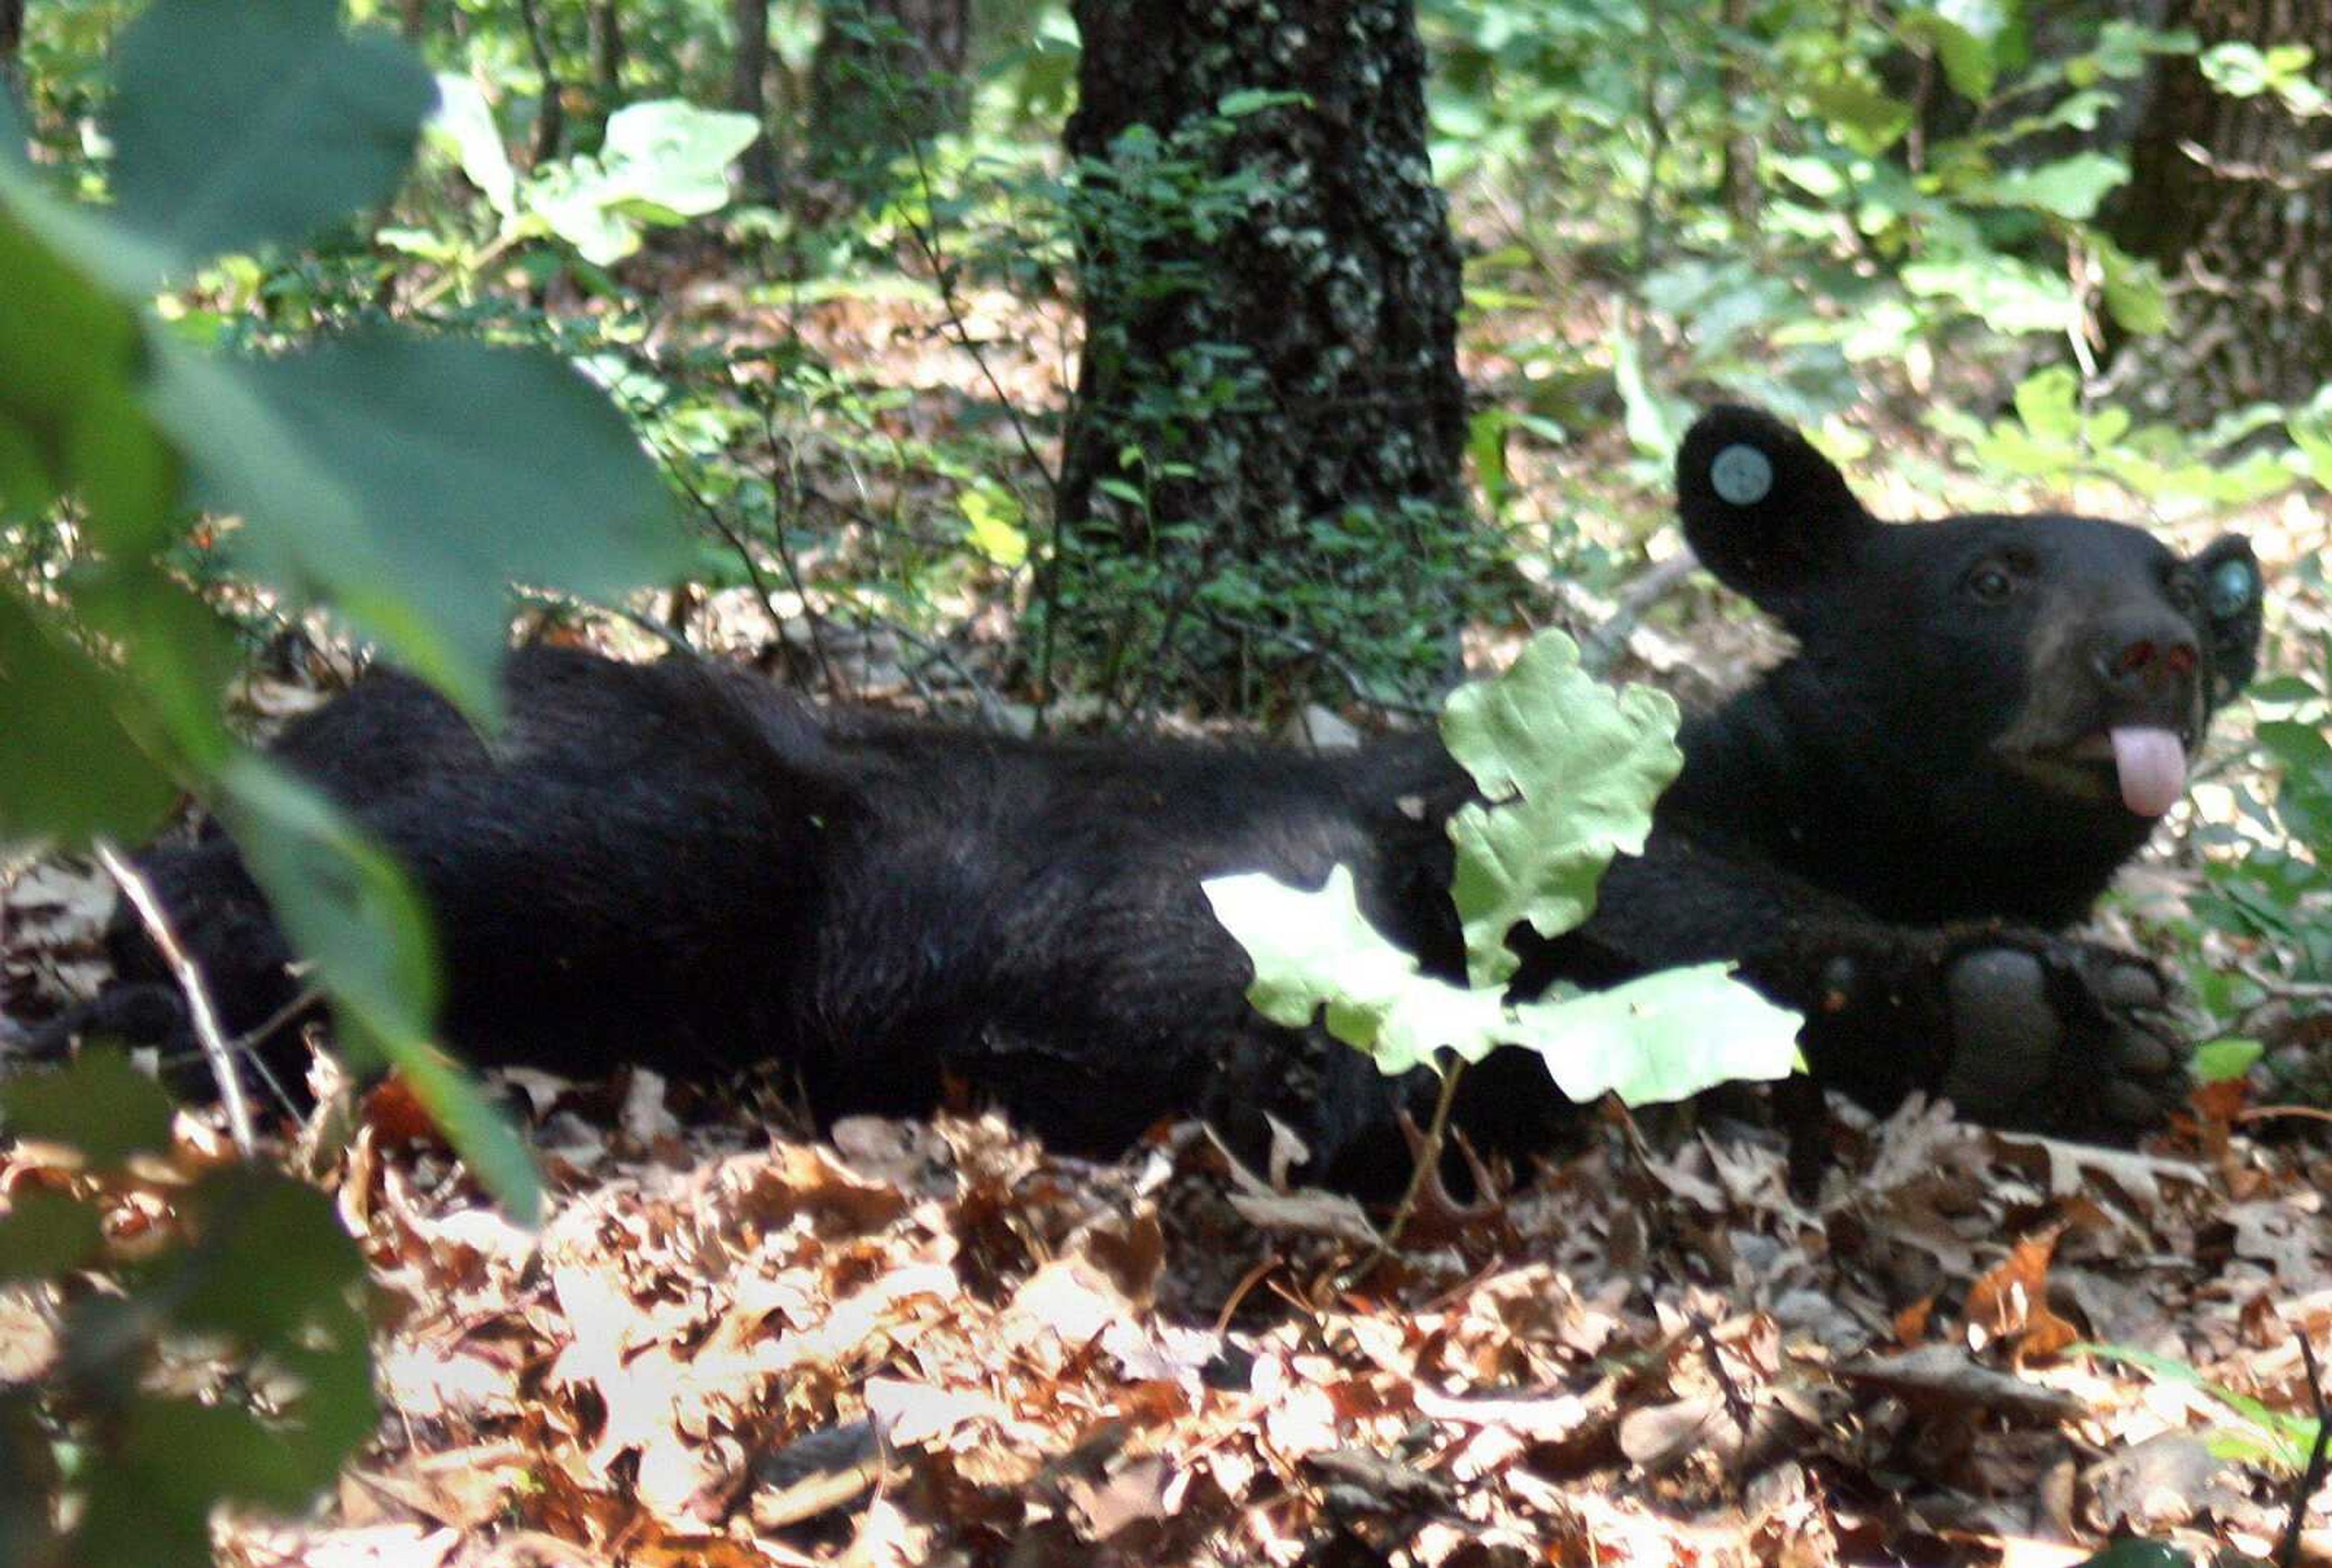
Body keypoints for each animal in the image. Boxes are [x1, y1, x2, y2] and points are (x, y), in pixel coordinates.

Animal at [4, 408, 2257, 1190]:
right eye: (1992, 572)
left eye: (2169, 572)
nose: (2160, 648)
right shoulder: (1498, 820)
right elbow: (1690, 922)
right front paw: (2041, 1002)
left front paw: (2082, 1023)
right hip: (622, 822)